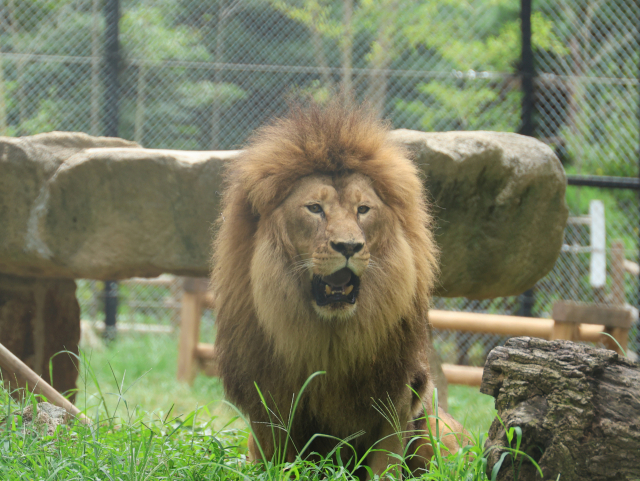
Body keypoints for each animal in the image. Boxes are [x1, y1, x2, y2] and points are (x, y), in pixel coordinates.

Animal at [212, 101, 468, 476]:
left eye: (363, 209)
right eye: (315, 208)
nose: (349, 246)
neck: (331, 340)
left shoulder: (395, 399)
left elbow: (384, 467)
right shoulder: (270, 404)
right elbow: (277, 461)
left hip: (439, 430)